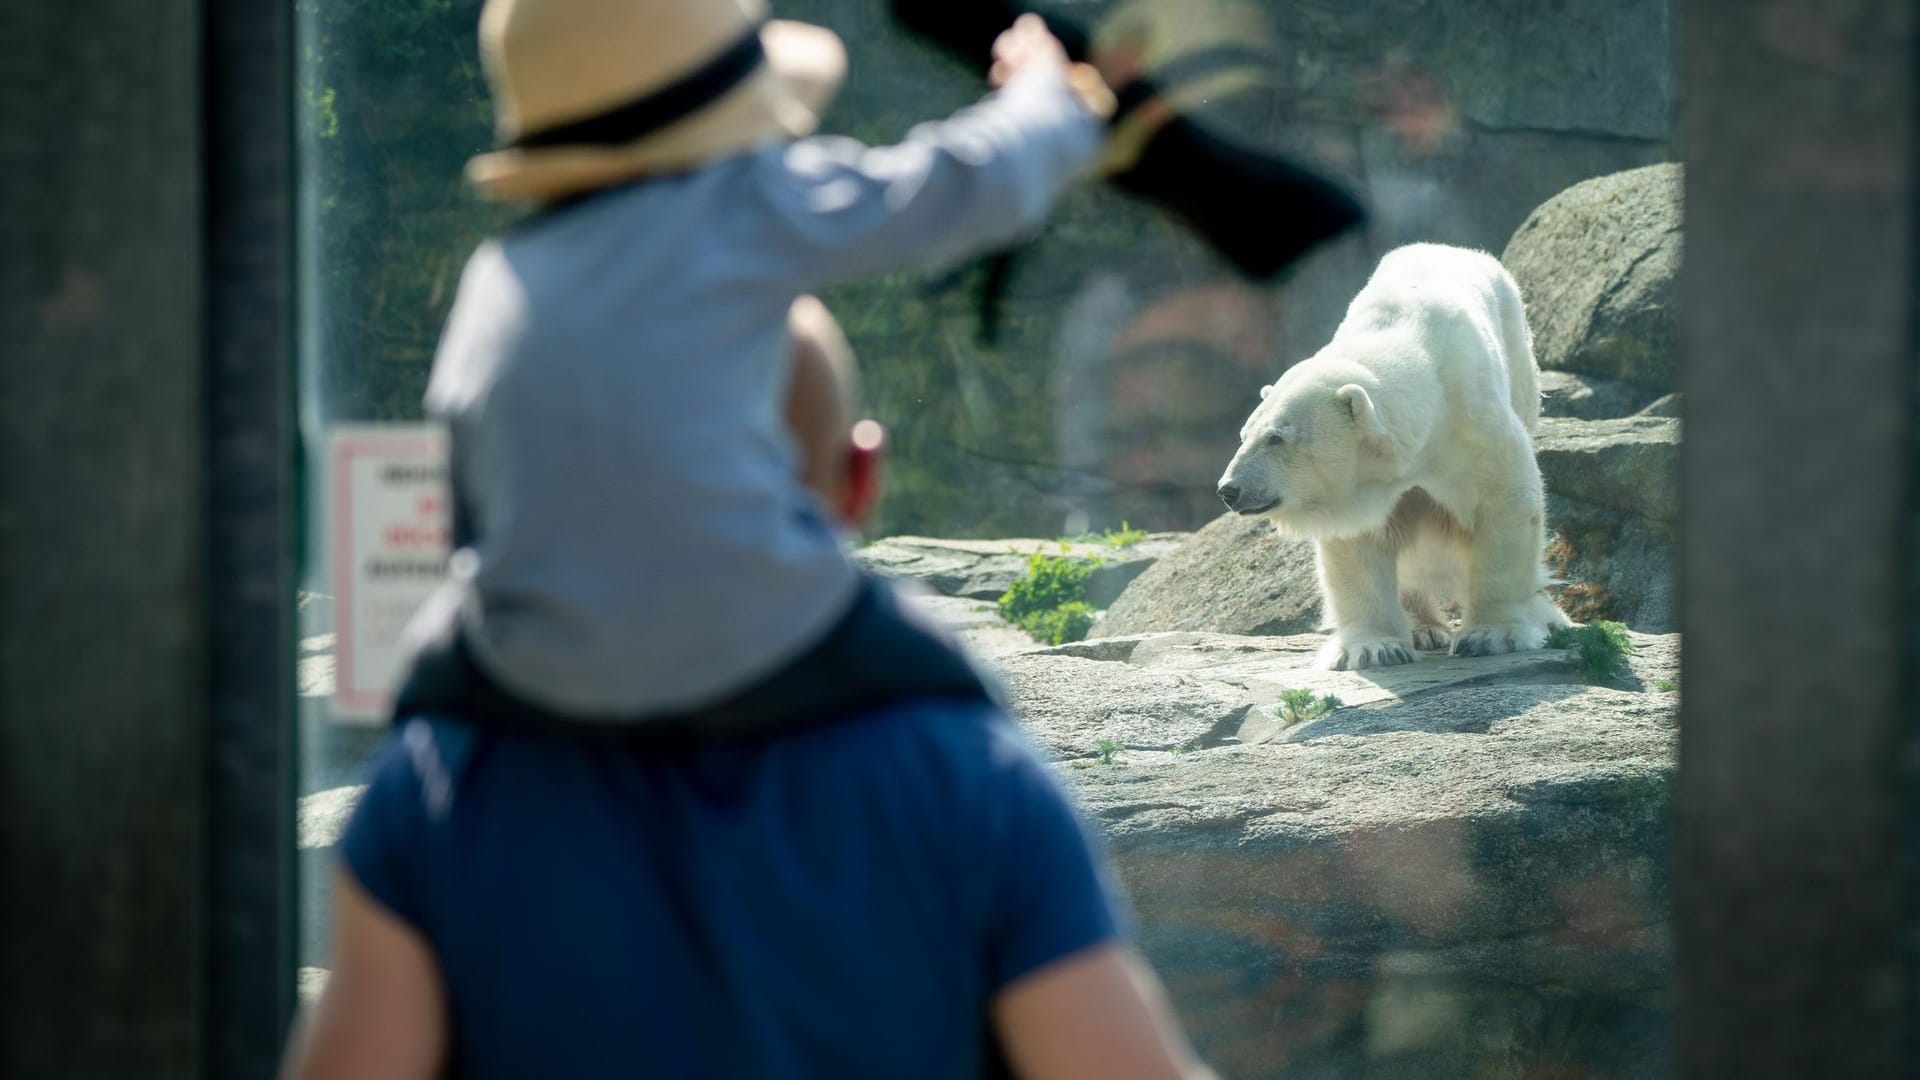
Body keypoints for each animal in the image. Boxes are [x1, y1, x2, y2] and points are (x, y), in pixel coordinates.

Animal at [1221, 243, 1566, 664]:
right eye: (1244, 435)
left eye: (1276, 438)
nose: (1229, 490)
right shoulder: (1364, 485)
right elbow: (1358, 541)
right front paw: (1375, 648)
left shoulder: (1471, 425)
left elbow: (1505, 502)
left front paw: (1492, 635)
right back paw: (1422, 629)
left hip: (1518, 361)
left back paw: (1550, 617)